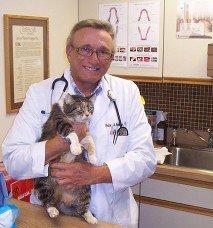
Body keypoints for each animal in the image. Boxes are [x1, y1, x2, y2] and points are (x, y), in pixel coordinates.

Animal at [34, 93, 98, 224]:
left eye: (90, 108)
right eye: (80, 109)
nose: (88, 115)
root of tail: (63, 198)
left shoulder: (85, 133)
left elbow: (90, 141)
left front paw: (93, 158)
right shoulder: (60, 121)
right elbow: (72, 133)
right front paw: (76, 148)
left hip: (85, 188)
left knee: (81, 209)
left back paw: (90, 217)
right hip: (43, 182)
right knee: (47, 202)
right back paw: (53, 211)